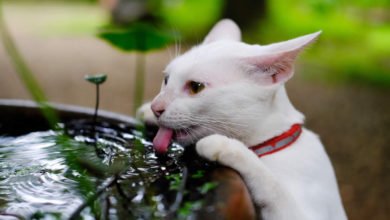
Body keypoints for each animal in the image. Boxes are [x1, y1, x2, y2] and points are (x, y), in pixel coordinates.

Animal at [139, 19, 348, 220]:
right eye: (166, 79)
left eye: (195, 87)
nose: (156, 108)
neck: (271, 144)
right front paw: (147, 113)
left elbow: (271, 183)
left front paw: (223, 145)